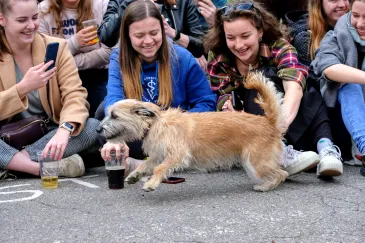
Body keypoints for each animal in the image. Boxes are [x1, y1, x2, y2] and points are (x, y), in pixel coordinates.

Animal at [98, 71, 288, 192]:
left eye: (114, 115)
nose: (98, 129)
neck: (155, 124)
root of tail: (268, 122)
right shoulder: (159, 155)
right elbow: (146, 164)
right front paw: (135, 175)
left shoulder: (177, 154)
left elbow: (160, 168)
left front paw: (152, 183)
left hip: (255, 163)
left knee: (281, 173)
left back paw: (265, 186)